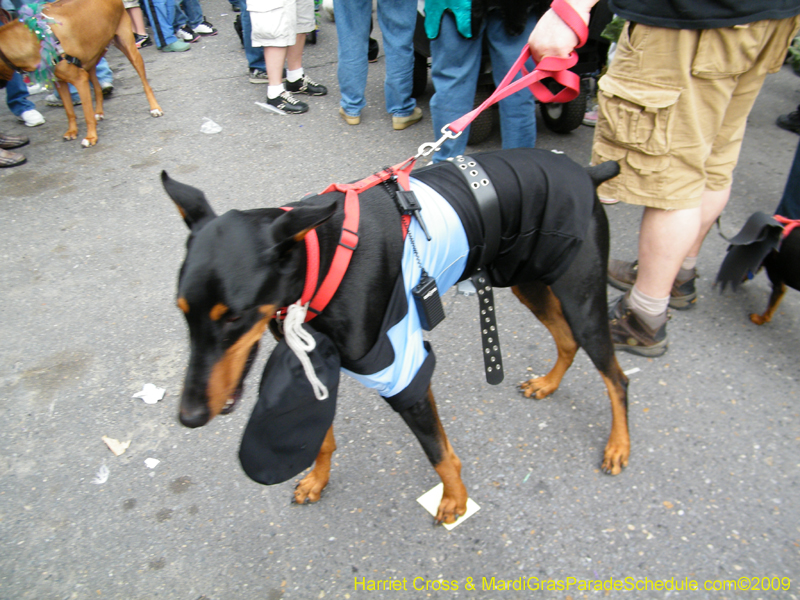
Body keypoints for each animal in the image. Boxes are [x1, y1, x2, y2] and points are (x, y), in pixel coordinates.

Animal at [0, 0, 162, 146]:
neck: (35, 37)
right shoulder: (60, 82)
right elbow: (69, 111)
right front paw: (72, 131)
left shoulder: (80, 79)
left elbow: (86, 113)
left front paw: (91, 137)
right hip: (91, 60)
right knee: (97, 87)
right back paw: (99, 112)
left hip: (129, 49)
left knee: (145, 83)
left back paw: (155, 108)